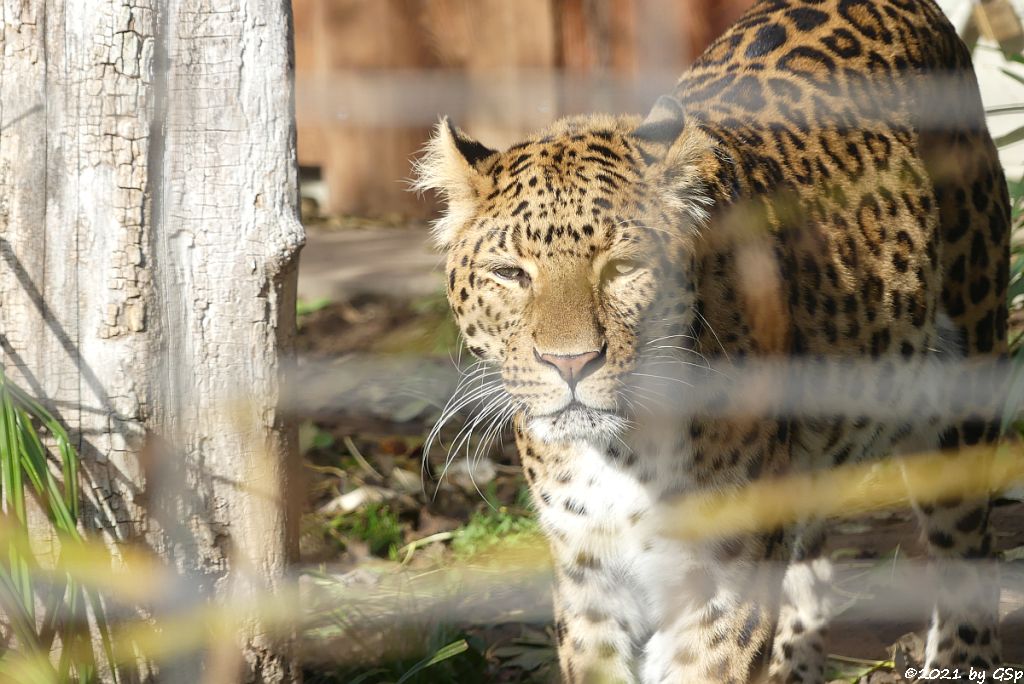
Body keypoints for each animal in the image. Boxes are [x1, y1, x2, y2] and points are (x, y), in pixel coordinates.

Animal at [411, 2, 1011, 679]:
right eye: (510, 273)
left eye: (622, 268)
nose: (571, 363)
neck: (618, 454)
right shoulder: (588, 573)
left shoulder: (725, 579)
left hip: (961, 397)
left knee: (968, 553)